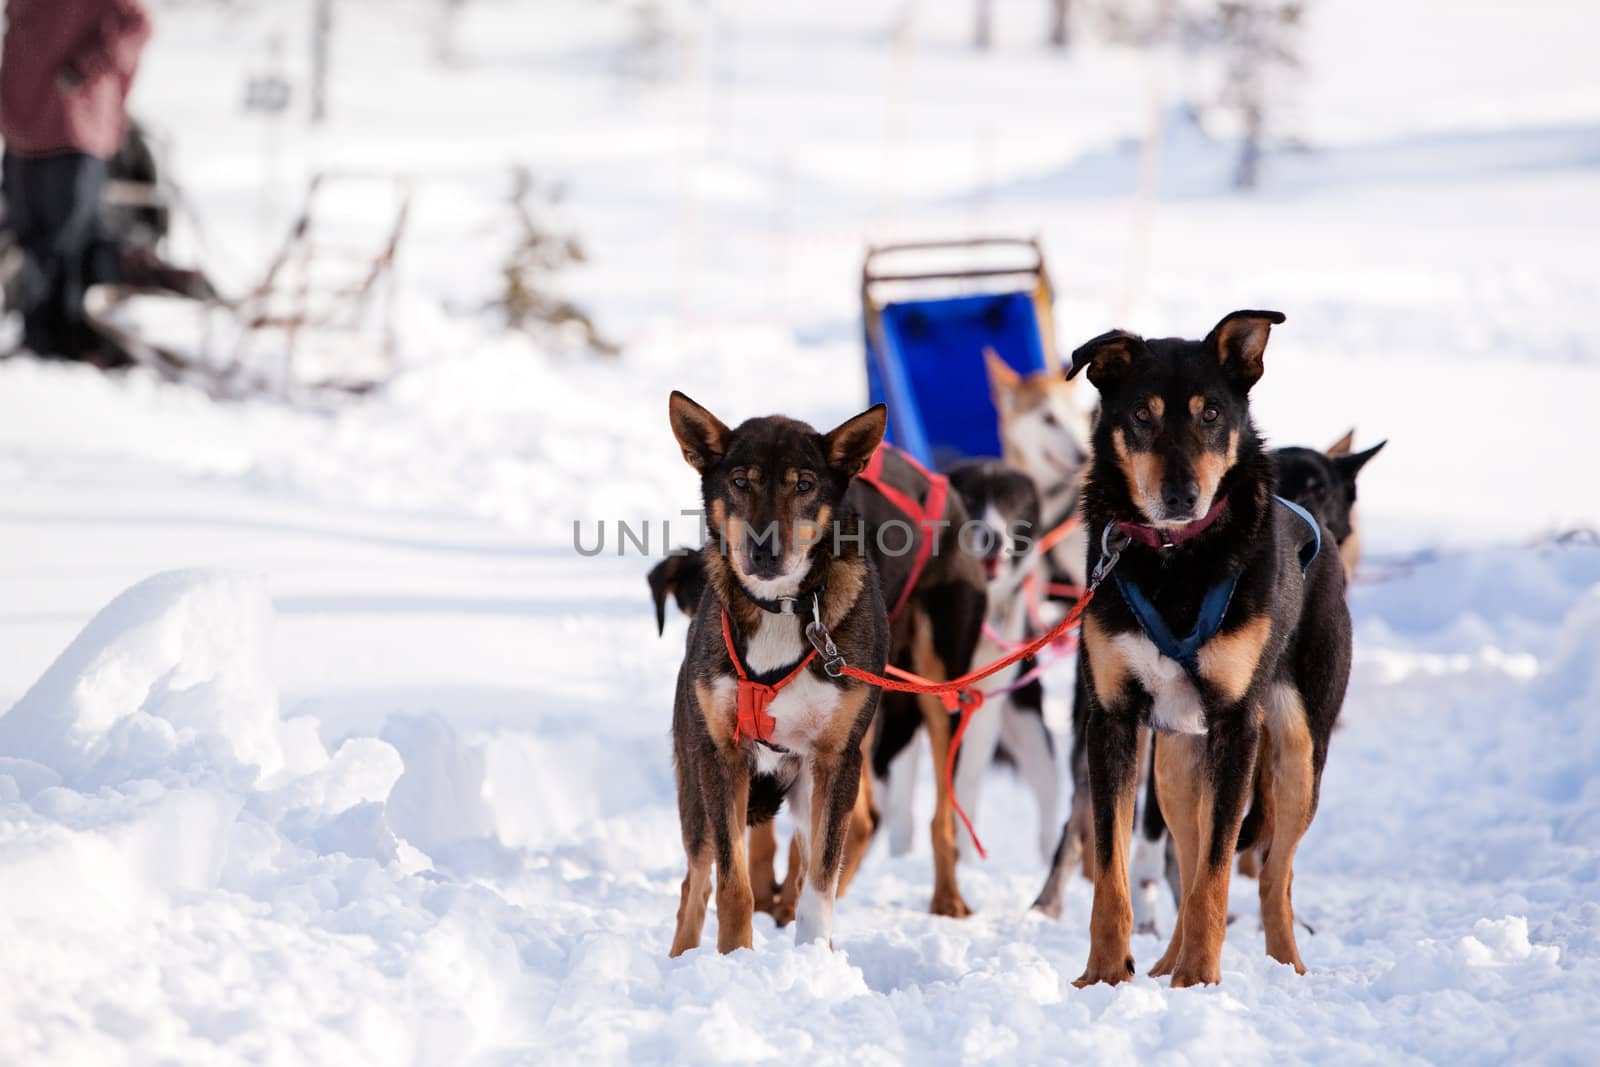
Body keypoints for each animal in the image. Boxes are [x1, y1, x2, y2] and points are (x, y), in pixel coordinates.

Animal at [662, 388, 889, 953]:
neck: (782, 608)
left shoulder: (836, 761)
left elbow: (820, 884)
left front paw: (815, 962)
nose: (765, 549)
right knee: (695, 883)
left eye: (804, 485)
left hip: (807, 790)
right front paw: (734, 958)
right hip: (696, 787)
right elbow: (733, 886)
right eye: (741, 481)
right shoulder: (722, 757)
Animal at [1062, 313, 1350, 991]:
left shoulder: (1236, 724)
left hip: (1296, 755)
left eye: (1212, 413)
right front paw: (1104, 977)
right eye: (1142, 414)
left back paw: (1283, 969)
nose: (1181, 495)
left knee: (1274, 876)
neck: (1174, 561)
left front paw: (1200, 980)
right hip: (1174, 766)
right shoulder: (1112, 721)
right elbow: (1113, 874)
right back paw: (1166, 964)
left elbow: (1220, 876)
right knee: (1190, 863)